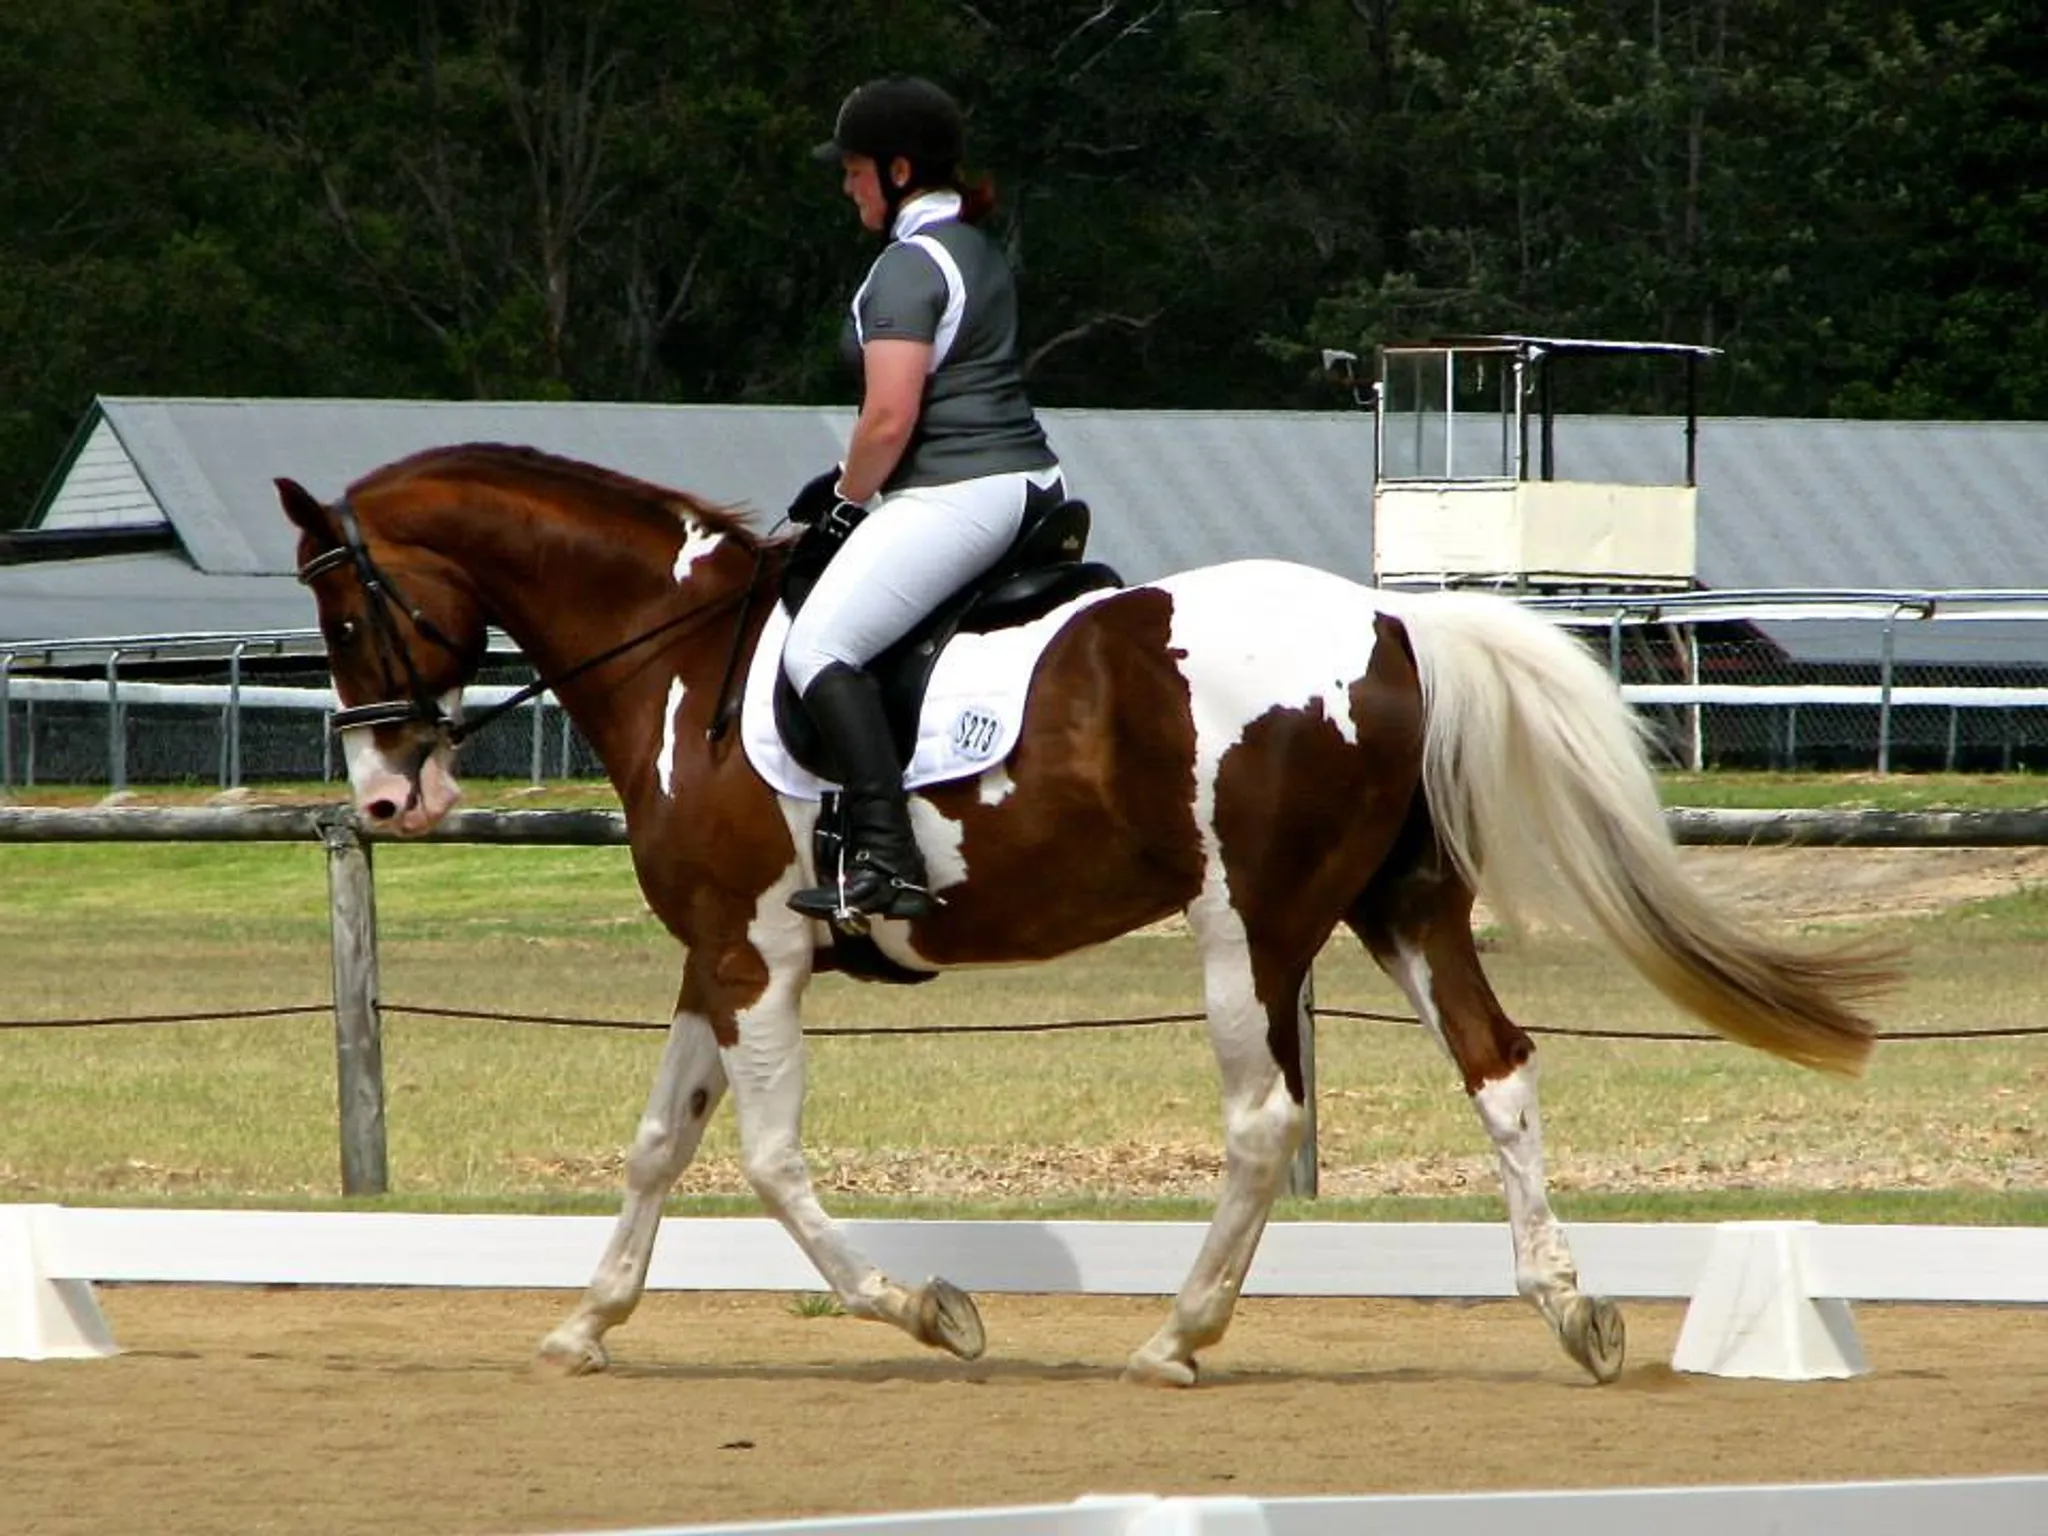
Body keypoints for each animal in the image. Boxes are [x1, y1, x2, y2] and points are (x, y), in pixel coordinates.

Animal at [276, 442, 1896, 1387]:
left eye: (344, 615)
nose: (388, 796)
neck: (677, 658)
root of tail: (1391, 620)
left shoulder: (756, 956)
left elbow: (771, 1165)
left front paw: (928, 1310)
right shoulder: (715, 956)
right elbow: (658, 1144)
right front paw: (586, 1321)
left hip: (1252, 926)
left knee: (1264, 1119)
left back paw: (1178, 1335)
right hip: (1397, 903)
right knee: (1495, 1068)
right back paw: (1568, 1312)